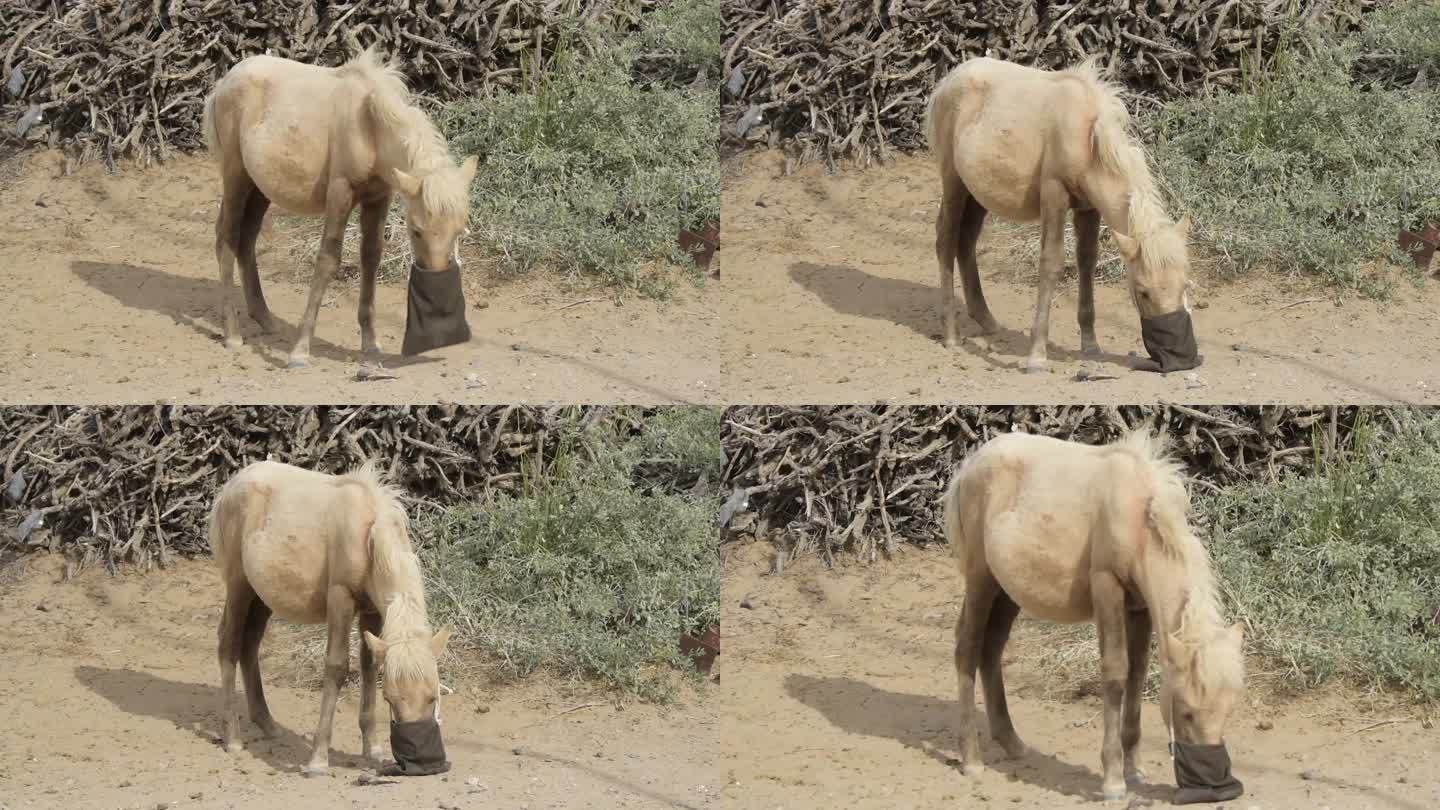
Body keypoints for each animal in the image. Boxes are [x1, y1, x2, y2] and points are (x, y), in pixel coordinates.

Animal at [201, 47, 478, 366]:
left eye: (458, 231)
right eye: (416, 230)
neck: (368, 126)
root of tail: (224, 83)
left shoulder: (377, 197)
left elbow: (370, 258)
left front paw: (371, 344)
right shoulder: (340, 193)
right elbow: (327, 260)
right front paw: (300, 350)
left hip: (260, 186)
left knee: (246, 241)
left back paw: (265, 318)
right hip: (236, 176)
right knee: (227, 240)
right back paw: (232, 333)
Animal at [207, 458, 449, 772]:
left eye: (433, 696)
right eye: (390, 699)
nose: (421, 764)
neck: (368, 535)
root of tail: (231, 485)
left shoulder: (372, 612)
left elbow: (369, 667)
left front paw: (372, 749)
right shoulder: (340, 599)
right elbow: (336, 667)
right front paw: (318, 758)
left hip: (262, 596)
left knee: (249, 646)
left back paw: (267, 723)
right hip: (239, 585)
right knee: (229, 644)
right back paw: (233, 738)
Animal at [927, 57, 1198, 371]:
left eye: (1184, 284)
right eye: (1142, 291)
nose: (1179, 360)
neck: (1086, 136)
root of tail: (947, 81)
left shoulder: (1088, 208)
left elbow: (1087, 263)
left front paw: (1091, 345)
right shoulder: (1054, 196)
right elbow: (1051, 263)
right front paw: (1036, 354)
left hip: (978, 192)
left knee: (966, 243)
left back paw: (986, 320)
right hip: (954, 182)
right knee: (946, 241)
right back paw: (951, 334)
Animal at [938, 432, 1244, 795]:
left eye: (1228, 710)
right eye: (1185, 712)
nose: (1218, 786)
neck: (1137, 518)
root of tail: (969, 465)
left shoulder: (1139, 607)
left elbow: (1137, 673)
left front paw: (1134, 770)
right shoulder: (1106, 587)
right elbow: (1115, 672)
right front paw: (1113, 779)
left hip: (1007, 589)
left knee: (991, 650)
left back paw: (1011, 742)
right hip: (981, 579)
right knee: (968, 649)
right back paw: (971, 759)